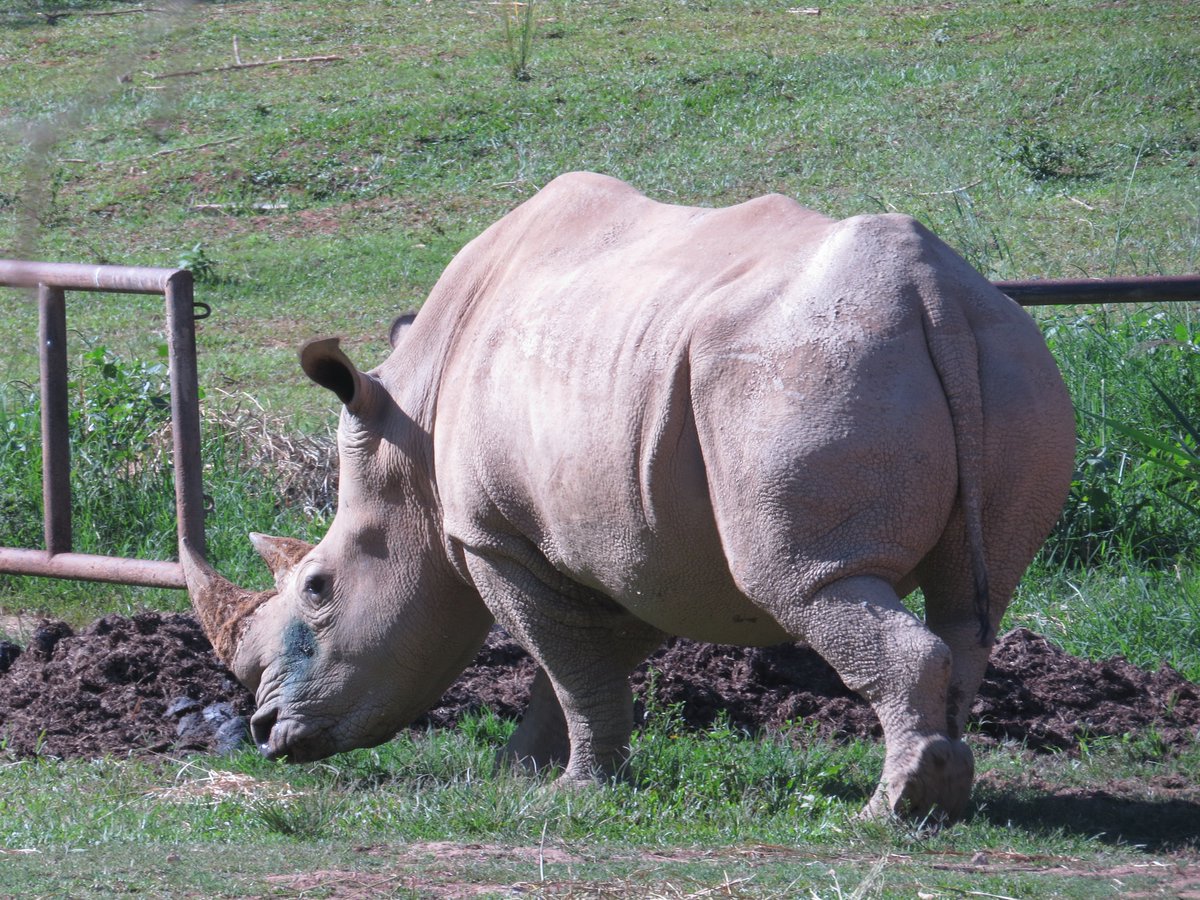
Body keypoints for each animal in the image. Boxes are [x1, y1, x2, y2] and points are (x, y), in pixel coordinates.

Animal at [183, 172, 1075, 820]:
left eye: (318, 589)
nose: (265, 733)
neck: (412, 435)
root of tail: (931, 293)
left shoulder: (494, 536)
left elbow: (567, 662)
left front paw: (570, 788)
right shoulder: (643, 543)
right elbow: (576, 664)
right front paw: (521, 771)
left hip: (812, 371)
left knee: (807, 581)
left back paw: (888, 814)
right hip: (1009, 356)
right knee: (971, 603)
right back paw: (942, 793)